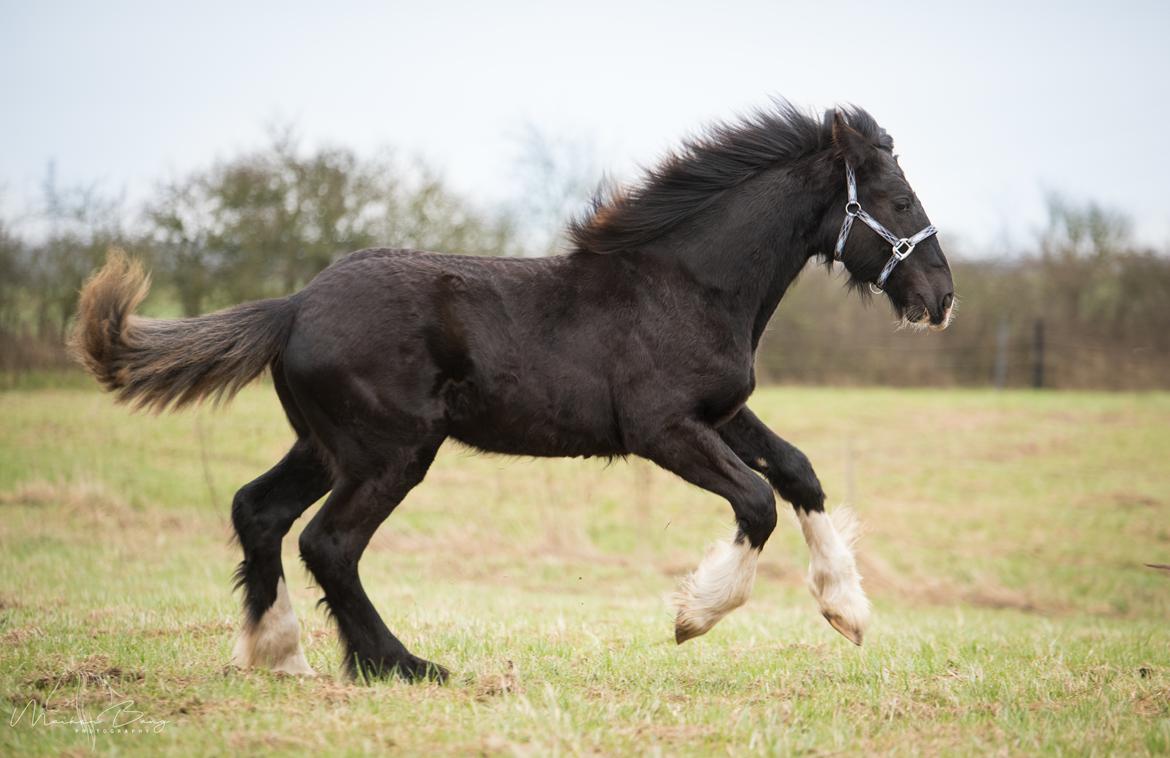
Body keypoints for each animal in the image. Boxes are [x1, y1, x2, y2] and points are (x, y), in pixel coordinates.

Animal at [70, 103, 950, 683]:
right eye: (898, 200)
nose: (941, 299)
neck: (686, 286)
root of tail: (291, 307)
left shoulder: (721, 413)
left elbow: (797, 471)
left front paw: (848, 611)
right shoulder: (663, 428)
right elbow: (757, 501)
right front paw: (693, 615)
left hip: (328, 447)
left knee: (259, 511)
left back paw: (279, 653)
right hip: (391, 453)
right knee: (329, 543)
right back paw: (402, 664)